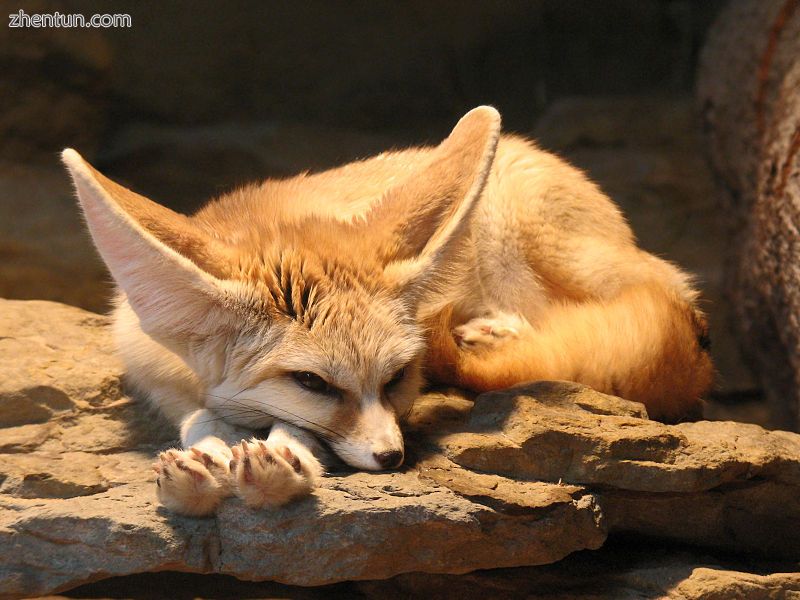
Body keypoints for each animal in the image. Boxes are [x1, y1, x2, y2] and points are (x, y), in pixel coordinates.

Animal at [61, 104, 712, 516]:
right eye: (312, 382)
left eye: (399, 377)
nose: (393, 457)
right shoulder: (159, 377)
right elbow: (200, 419)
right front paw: (206, 457)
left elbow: (298, 432)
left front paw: (281, 461)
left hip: (538, 240)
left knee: (667, 302)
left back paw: (497, 331)